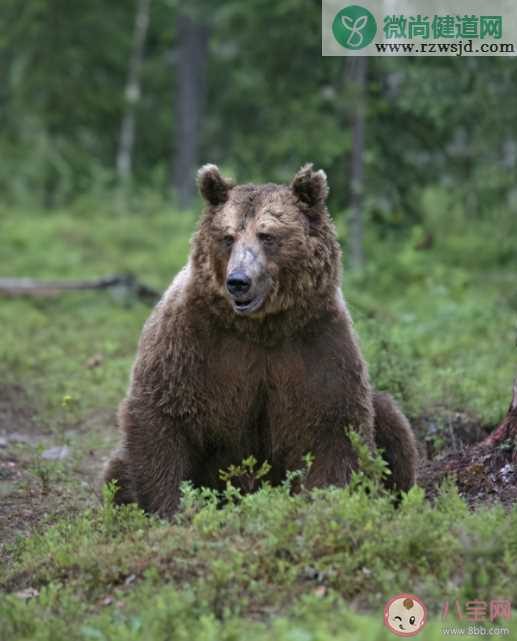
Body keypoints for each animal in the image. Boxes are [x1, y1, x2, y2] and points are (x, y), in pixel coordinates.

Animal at [104, 164, 416, 516]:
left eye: (268, 236)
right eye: (228, 237)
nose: (238, 281)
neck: (260, 328)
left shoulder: (316, 345)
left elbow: (334, 428)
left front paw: (323, 503)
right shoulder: (192, 342)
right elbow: (162, 415)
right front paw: (172, 507)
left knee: (393, 425)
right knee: (117, 470)